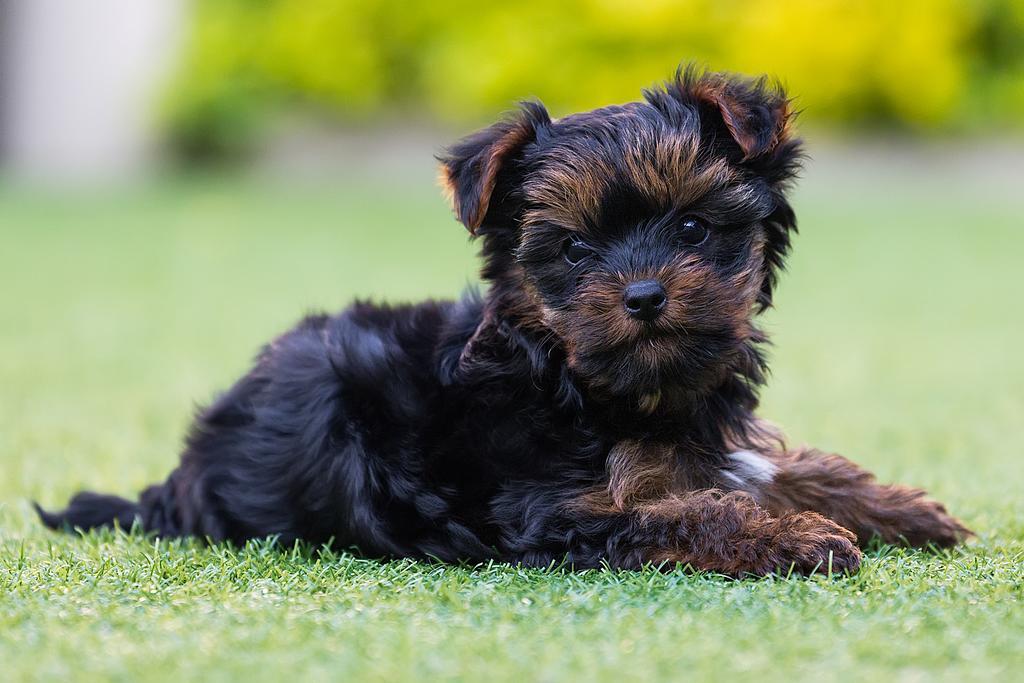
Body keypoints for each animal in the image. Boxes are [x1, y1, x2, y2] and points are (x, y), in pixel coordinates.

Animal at [37, 66, 966, 577]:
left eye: (694, 229)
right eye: (576, 249)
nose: (643, 295)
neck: (577, 376)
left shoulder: (715, 439)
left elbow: (776, 464)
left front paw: (900, 507)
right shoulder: (555, 507)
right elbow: (686, 512)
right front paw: (803, 537)